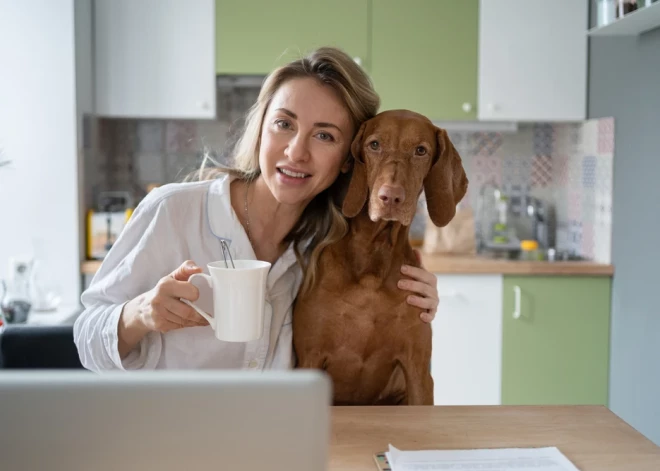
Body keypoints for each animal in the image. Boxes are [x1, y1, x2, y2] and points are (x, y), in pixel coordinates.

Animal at [294, 109, 470, 404]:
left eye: (421, 150)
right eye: (374, 145)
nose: (390, 197)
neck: (373, 260)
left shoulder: (418, 371)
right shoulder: (309, 357)